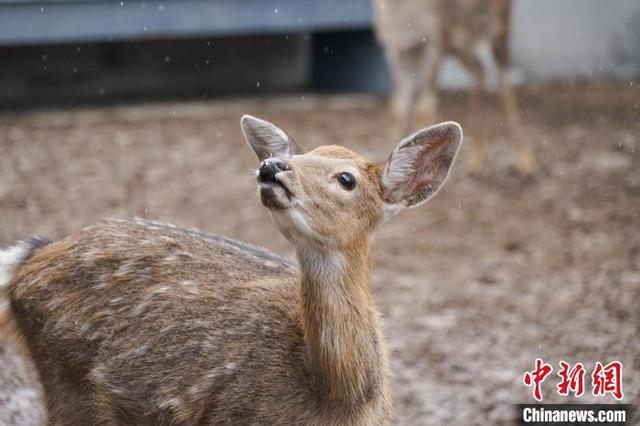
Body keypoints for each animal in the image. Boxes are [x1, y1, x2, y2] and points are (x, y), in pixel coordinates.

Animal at [0, 115, 462, 424]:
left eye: (346, 179)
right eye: (298, 156)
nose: (272, 166)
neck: (337, 399)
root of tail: (28, 260)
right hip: (67, 385)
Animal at [372, 0, 536, 175]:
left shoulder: (434, 40)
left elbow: (422, 110)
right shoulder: (398, 50)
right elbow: (398, 111)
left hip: (499, 26)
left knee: (503, 80)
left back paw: (526, 163)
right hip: (459, 43)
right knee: (478, 70)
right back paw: (476, 161)